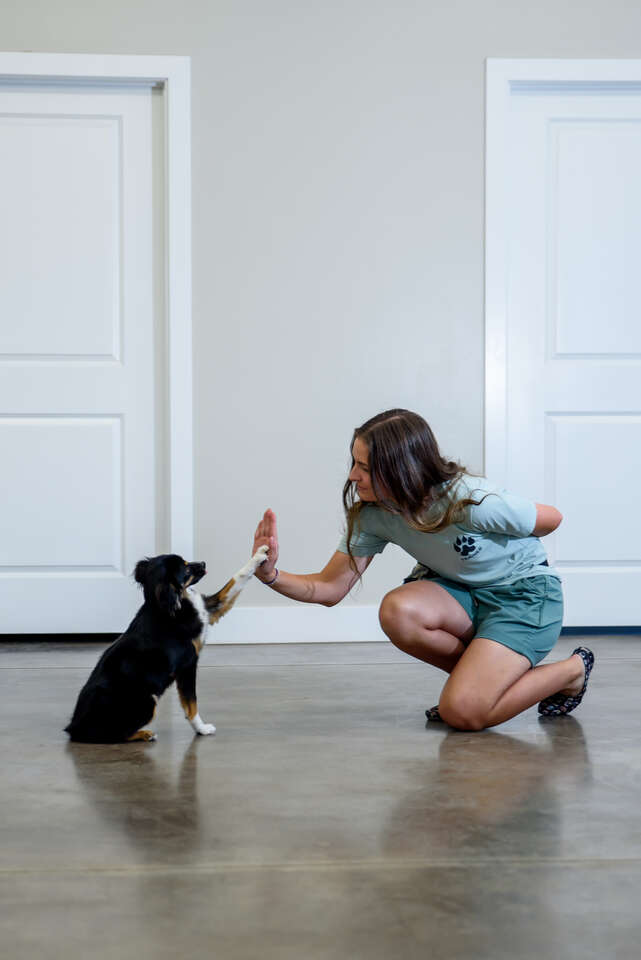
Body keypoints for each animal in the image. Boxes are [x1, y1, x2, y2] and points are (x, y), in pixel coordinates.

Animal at [65, 545, 269, 743]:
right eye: (186, 568)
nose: (203, 563)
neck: (170, 604)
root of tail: (74, 727)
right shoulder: (188, 665)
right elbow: (191, 704)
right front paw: (202, 729)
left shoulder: (210, 608)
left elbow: (237, 578)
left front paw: (259, 554)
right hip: (147, 700)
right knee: (112, 735)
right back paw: (145, 734)